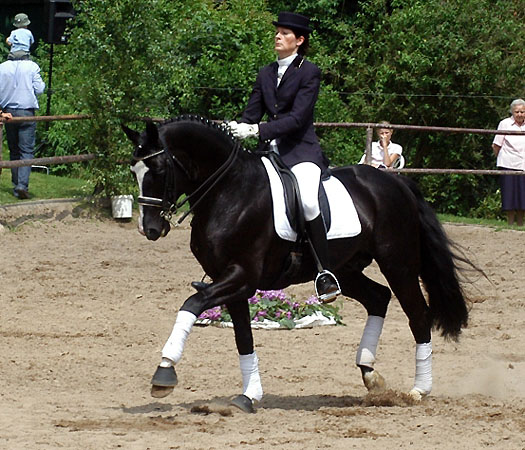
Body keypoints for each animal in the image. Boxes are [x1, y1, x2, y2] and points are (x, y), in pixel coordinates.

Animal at [124, 118, 470, 414]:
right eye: (133, 170)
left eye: (158, 168)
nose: (149, 228)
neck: (230, 191)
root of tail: (395, 184)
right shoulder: (233, 283)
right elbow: (243, 338)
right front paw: (249, 396)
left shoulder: (241, 277)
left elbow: (191, 304)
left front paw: (164, 372)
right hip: (345, 269)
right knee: (378, 298)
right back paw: (370, 374)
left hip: (398, 264)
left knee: (418, 315)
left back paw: (419, 390)